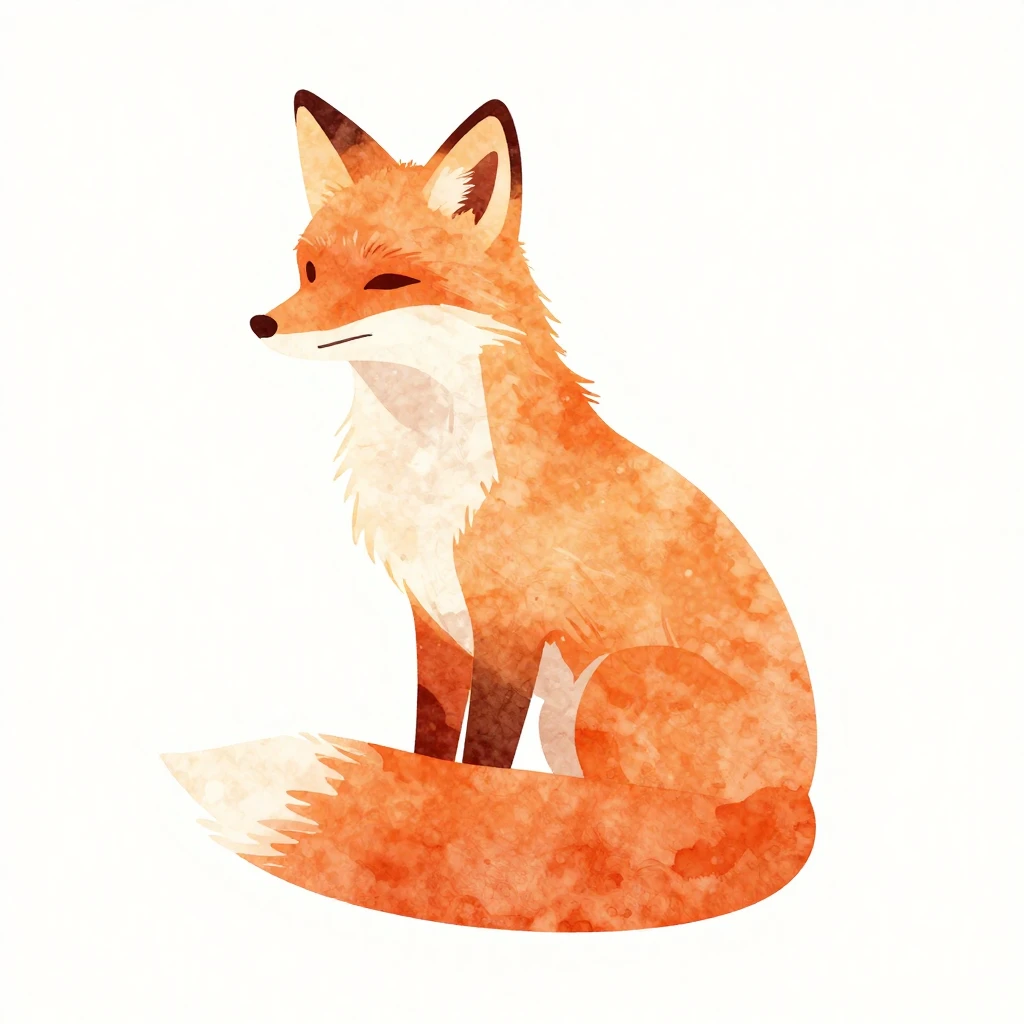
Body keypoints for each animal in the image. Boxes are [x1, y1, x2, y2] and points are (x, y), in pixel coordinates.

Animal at [163, 91, 817, 932]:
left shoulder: (512, 628)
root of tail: (797, 799)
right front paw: (422, 815)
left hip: (610, 683)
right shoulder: (436, 619)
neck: (430, 466)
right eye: (308, 269)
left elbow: (483, 765)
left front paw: (468, 833)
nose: (263, 324)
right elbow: (431, 745)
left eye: (388, 280)